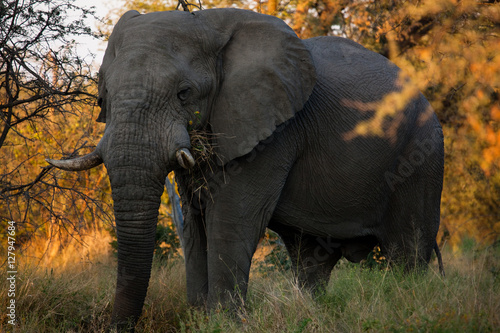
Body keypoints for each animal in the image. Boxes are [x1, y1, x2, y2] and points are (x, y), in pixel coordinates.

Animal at [47, 7, 446, 330]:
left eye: (184, 93)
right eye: (104, 96)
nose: (116, 328)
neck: (208, 23)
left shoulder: (274, 131)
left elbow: (231, 217)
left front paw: (221, 323)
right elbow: (194, 222)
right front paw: (199, 318)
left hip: (422, 157)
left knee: (407, 253)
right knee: (311, 260)